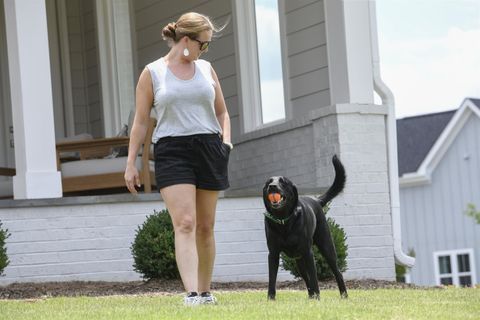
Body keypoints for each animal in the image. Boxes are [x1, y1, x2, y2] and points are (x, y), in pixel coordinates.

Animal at [264, 155, 346, 300]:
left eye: (283, 182)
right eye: (268, 181)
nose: (272, 186)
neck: (283, 221)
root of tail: (316, 200)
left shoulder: (308, 253)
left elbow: (314, 278)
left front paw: (318, 298)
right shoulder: (273, 254)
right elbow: (272, 279)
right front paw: (270, 299)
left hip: (326, 248)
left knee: (337, 272)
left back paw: (343, 295)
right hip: (298, 261)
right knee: (306, 279)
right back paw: (311, 297)